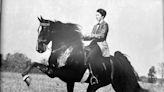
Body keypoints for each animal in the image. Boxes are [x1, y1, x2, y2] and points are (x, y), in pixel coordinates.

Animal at [21, 16, 149, 91]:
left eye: (46, 30)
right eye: (38, 30)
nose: (39, 48)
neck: (65, 51)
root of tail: (119, 60)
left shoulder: (58, 72)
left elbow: (37, 64)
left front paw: (27, 79)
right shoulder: (68, 80)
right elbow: (34, 63)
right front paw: (25, 77)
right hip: (103, 85)